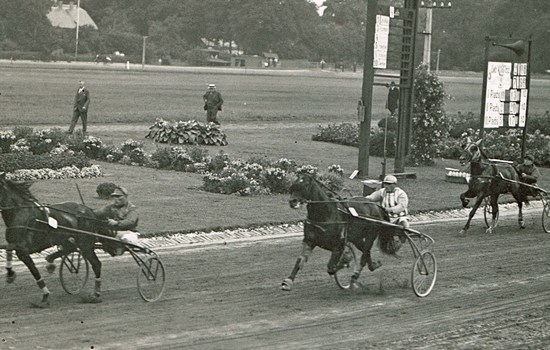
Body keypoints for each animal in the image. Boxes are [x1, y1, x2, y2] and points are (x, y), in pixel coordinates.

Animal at [0, 174, 106, 308]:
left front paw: (45, 296)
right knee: (70, 248)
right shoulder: (16, 244)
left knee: (96, 264)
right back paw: (50, 261)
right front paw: (10, 274)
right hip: (67, 239)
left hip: (85, 243)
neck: (19, 212)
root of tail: (90, 211)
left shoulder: (23, 249)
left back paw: (96, 294)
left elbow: (34, 270)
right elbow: (9, 249)